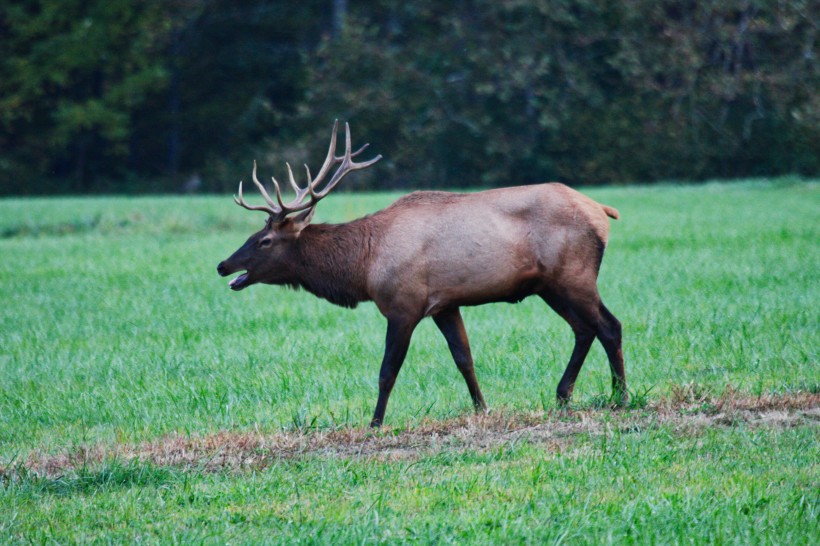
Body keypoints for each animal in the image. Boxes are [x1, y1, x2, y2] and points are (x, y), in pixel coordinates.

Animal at [218, 121, 628, 428]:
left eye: (264, 240)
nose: (224, 265)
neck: (363, 266)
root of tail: (602, 210)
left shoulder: (404, 305)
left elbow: (388, 370)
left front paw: (375, 423)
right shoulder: (444, 305)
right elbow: (464, 359)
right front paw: (482, 408)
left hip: (574, 276)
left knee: (609, 325)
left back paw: (620, 396)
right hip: (550, 286)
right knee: (584, 329)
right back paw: (564, 395)